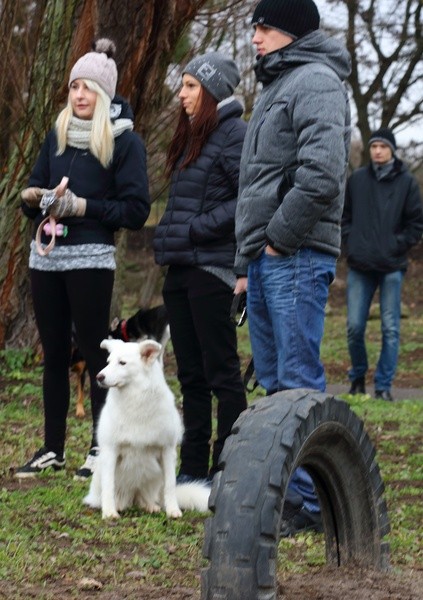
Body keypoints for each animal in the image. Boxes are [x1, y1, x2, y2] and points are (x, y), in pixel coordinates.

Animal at [84, 340, 212, 516]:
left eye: (122, 363)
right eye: (108, 362)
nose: (99, 377)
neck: (136, 399)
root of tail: (131, 498)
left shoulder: (167, 450)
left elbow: (170, 485)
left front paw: (173, 510)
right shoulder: (111, 450)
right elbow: (109, 486)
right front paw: (109, 513)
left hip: (153, 475)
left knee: (147, 497)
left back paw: (151, 506)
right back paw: (117, 506)